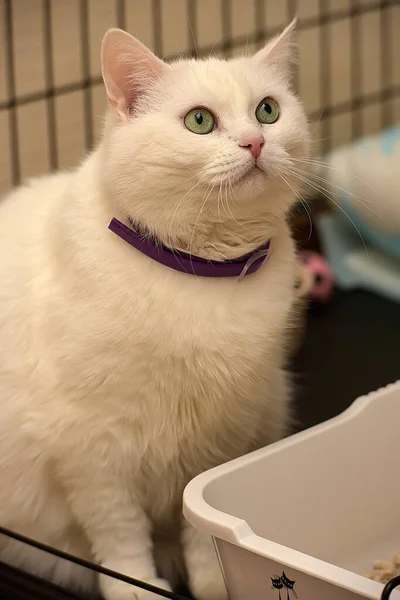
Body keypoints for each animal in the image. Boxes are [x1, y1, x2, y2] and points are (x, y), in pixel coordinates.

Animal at [0, 18, 310, 600]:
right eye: (199, 121)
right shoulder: (91, 450)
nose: (256, 141)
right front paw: (135, 588)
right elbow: (119, 538)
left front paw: (212, 582)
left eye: (267, 111)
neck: (198, 273)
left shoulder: (218, 438)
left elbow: (198, 518)